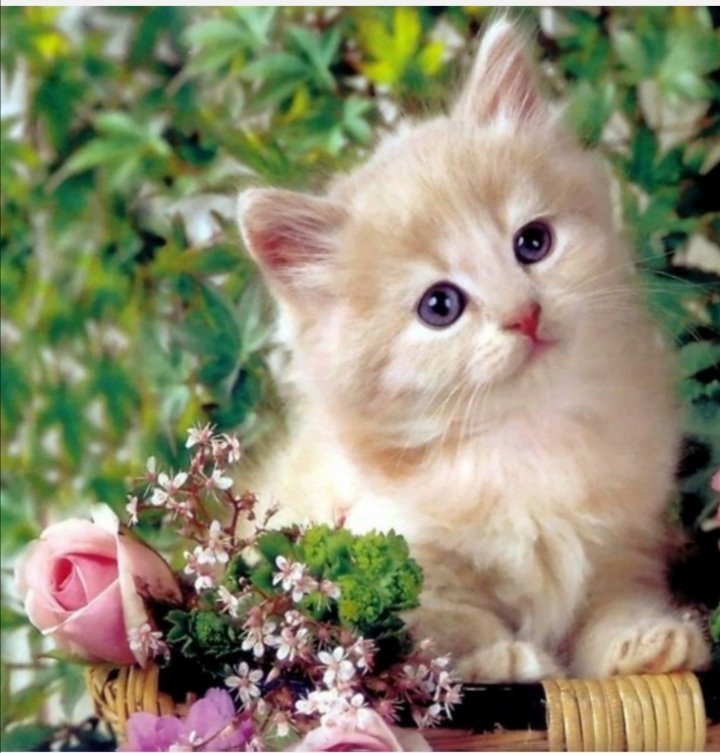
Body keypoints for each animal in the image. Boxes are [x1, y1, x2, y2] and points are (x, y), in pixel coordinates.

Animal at [235, 18, 710, 681]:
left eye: (533, 242)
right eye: (440, 306)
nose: (523, 315)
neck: (529, 441)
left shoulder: (626, 542)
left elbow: (616, 600)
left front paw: (641, 641)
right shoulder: (393, 552)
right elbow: (446, 622)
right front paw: (507, 661)